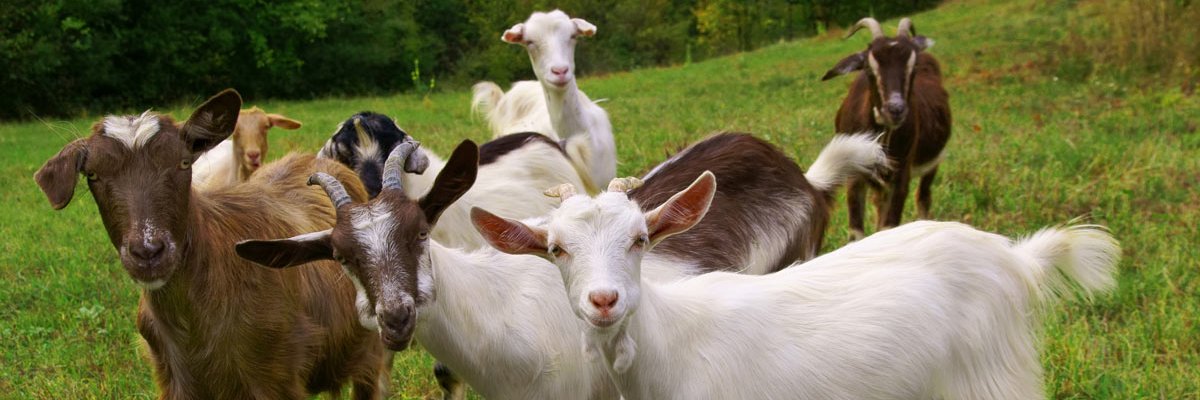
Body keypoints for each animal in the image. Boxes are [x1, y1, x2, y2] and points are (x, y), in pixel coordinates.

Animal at [473, 172, 1120, 400]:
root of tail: (1014, 259)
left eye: (640, 239)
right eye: (556, 250)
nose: (604, 301)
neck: (670, 350)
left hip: (992, 382)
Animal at [822, 17, 952, 240]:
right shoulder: (854, 177)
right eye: (868, 68)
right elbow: (856, 232)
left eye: (913, 67)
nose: (895, 109)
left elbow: (888, 226)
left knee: (923, 197)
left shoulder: (901, 174)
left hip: (933, 162)